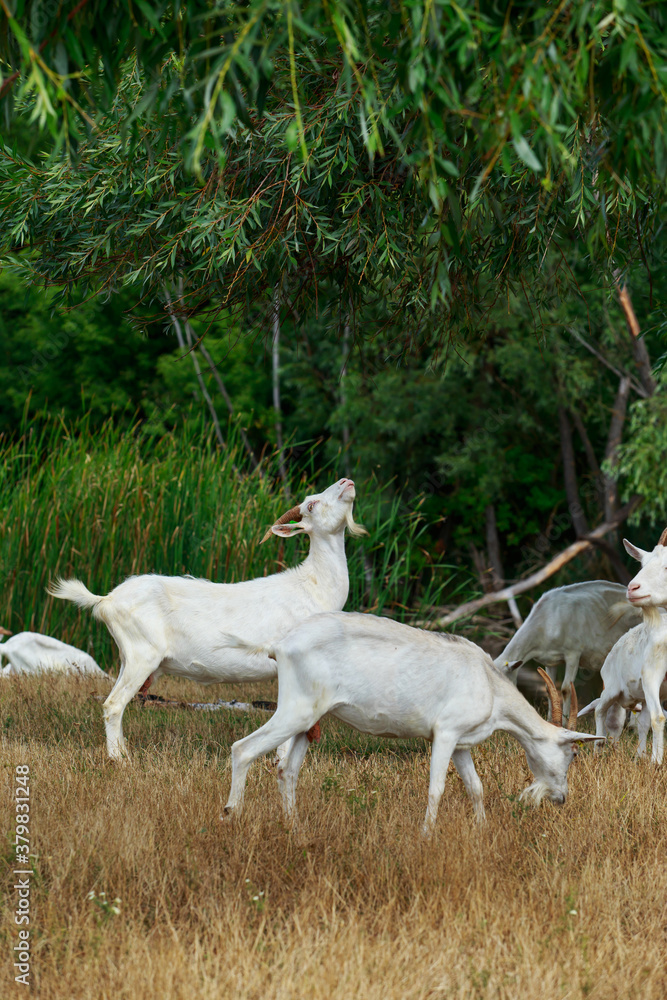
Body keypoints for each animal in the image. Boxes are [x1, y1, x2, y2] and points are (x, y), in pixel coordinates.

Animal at [48, 478, 366, 760]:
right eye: (311, 504)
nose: (346, 482)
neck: (313, 586)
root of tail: (106, 600)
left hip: (128, 658)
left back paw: (123, 751)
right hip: (142, 655)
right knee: (113, 704)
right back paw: (119, 759)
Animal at [221, 613, 602, 836]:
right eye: (573, 754)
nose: (561, 798)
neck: (490, 685)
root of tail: (278, 645)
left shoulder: (462, 743)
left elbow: (475, 787)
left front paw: (481, 831)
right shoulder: (445, 733)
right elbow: (437, 787)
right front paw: (426, 835)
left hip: (309, 718)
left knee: (287, 771)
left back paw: (296, 830)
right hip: (296, 709)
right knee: (243, 749)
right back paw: (231, 816)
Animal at [577, 528, 667, 763]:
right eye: (642, 564)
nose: (632, 588)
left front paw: (650, 760)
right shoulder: (652, 674)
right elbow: (659, 718)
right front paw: (656, 763)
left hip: (640, 695)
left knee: (643, 722)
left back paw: (640, 756)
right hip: (611, 687)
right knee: (600, 709)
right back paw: (598, 748)